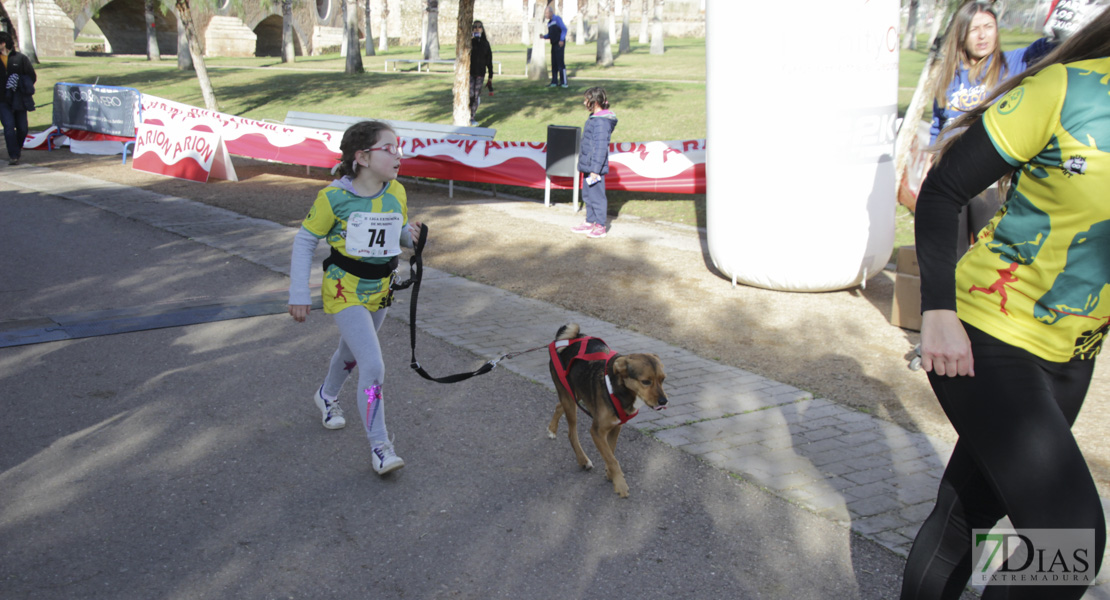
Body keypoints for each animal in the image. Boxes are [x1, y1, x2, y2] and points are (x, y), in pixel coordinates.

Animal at [546, 323, 666, 496]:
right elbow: (612, 459)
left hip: (575, 394)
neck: (621, 390)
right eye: (645, 382)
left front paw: (611, 474)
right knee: (571, 433)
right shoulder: (596, 431)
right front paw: (621, 485)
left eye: (663, 379)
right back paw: (583, 460)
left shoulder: (615, 428)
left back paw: (552, 429)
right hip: (570, 399)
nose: (664, 401)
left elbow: (611, 452)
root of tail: (569, 339)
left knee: (558, 405)